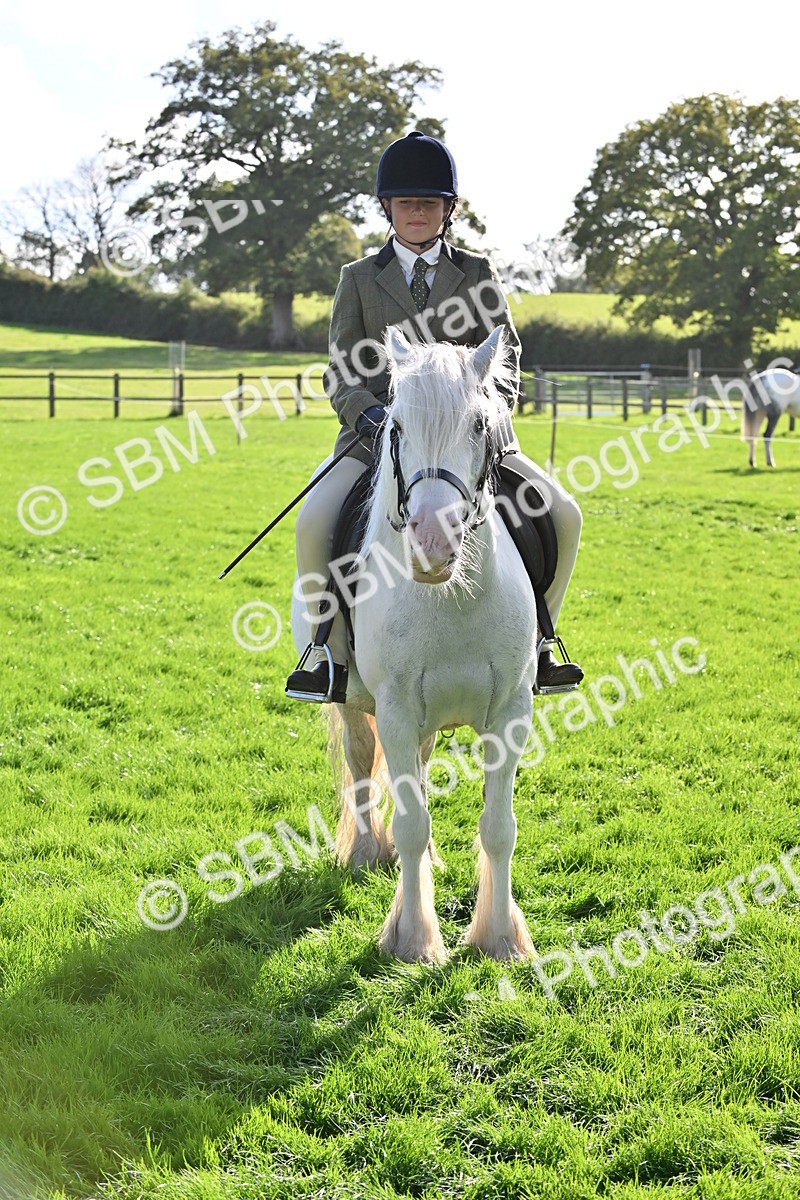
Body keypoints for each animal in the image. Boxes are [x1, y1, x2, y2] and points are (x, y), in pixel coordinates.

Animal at [291, 325, 538, 965]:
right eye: (395, 426)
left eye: (480, 424)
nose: (433, 541)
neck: (451, 597)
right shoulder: (397, 711)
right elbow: (408, 822)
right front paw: (413, 939)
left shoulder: (511, 712)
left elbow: (499, 828)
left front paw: (500, 937)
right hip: (357, 703)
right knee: (361, 766)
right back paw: (362, 854)